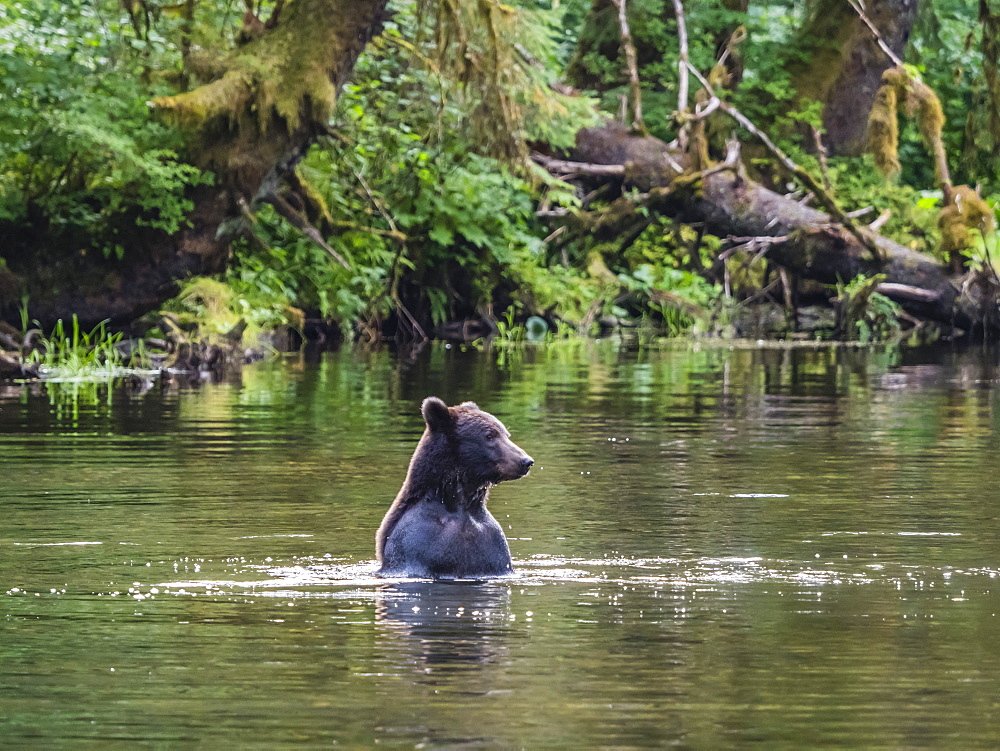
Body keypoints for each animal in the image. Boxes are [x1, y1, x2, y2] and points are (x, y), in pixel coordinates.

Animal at [374, 396, 532, 580]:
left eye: (506, 434)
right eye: (489, 435)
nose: (525, 461)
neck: (459, 503)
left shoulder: (491, 541)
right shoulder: (417, 540)